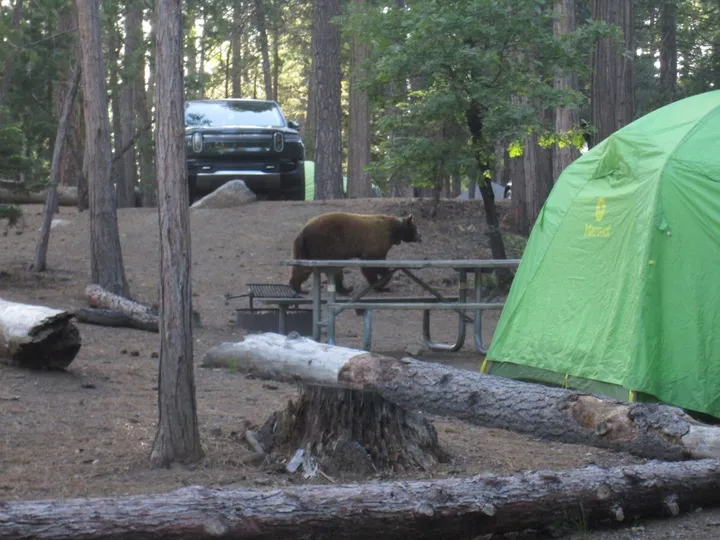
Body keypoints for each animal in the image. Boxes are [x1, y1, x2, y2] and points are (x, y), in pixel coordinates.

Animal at [289, 212, 422, 295]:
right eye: (415, 228)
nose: (420, 236)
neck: (394, 231)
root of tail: (303, 231)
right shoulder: (377, 241)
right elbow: (372, 264)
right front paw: (381, 284)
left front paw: (380, 283)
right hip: (325, 245)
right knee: (332, 269)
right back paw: (345, 289)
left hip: (306, 250)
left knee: (303, 269)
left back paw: (298, 287)